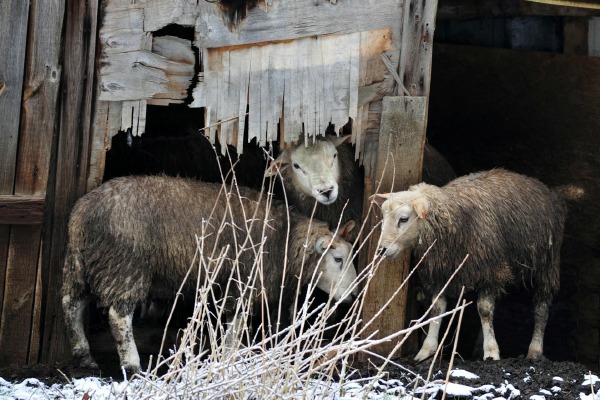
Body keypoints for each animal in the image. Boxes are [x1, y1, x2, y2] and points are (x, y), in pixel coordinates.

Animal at [61, 177, 358, 374]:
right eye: (338, 259)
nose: (354, 295)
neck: (284, 238)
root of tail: (82, 212)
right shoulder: (244, 280)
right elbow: (236, 323)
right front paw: (229, 357)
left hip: (80, 262)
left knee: (71, 303)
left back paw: (83, 354)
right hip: (124, 265)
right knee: (118, 316)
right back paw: (132, 364)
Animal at [370, 169, 568, 362]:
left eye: (403, 219)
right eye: (383, 217)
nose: (382, 249)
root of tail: (538, 183)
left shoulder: (491, 270)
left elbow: (484, 310)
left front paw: (491, 352)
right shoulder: (441, 273)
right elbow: (437, 309)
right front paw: (426, 351)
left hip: (546, 266)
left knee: (541, 308)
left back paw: (534, 350)